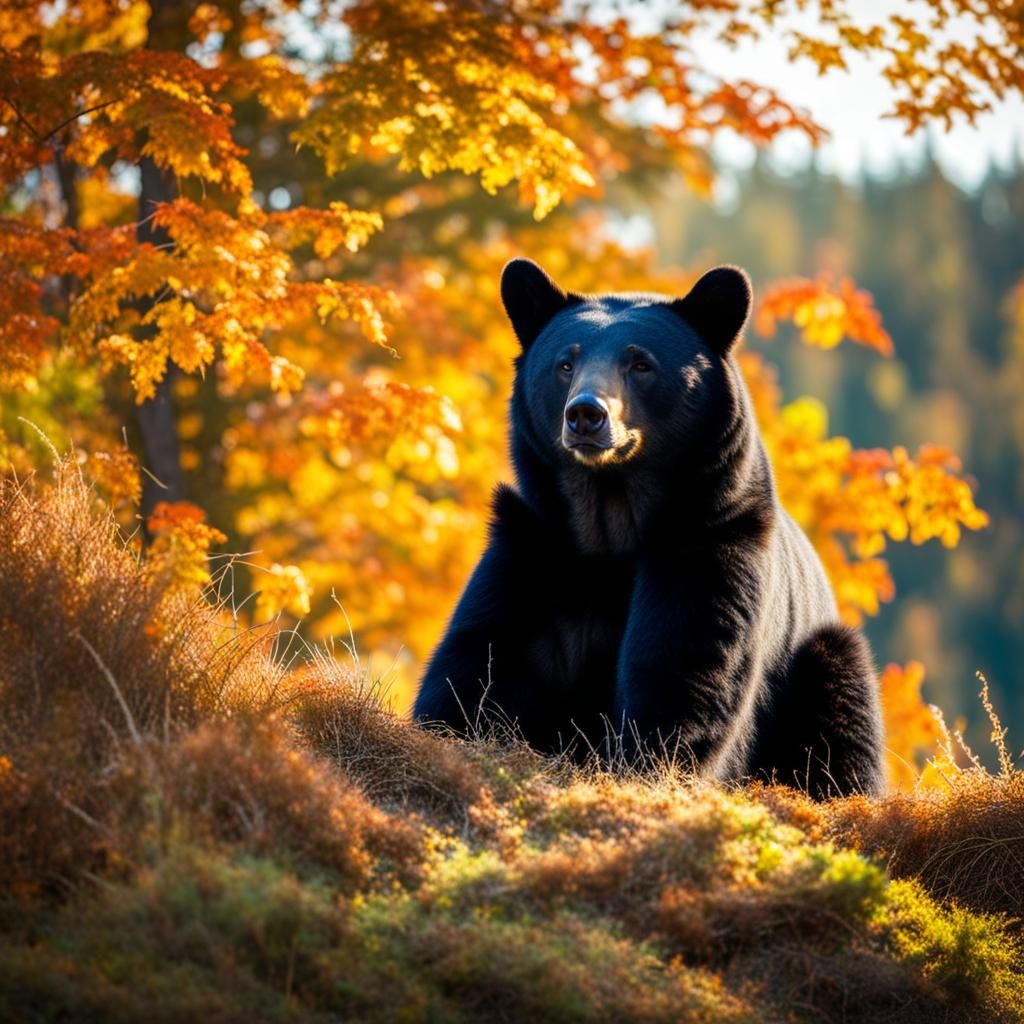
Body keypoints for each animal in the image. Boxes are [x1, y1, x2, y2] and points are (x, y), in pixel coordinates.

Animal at [414, 257, 885, 799]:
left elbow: (682, 666)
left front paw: (641, 761)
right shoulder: (535, 540)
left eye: (640, 364)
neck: (609, 521)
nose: (586, 414)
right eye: (565, 363)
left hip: (823, 658)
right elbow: (482, 651)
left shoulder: (710, 540)